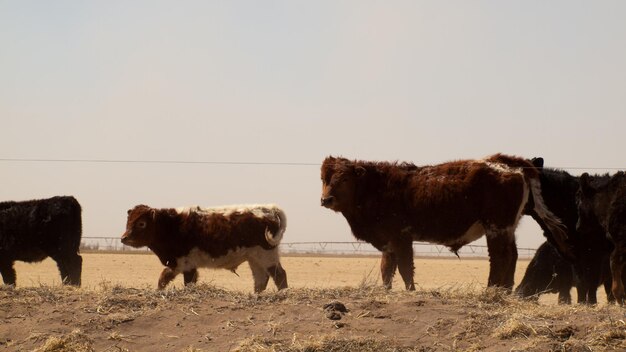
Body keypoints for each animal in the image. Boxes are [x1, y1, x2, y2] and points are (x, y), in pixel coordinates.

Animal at [119, 204, 288, 292]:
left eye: (141, 223)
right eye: (128, 221)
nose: (123, 238)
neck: (172, 226)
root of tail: (269, 209)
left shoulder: (186, 264)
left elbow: (183, 282)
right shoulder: (178, 264)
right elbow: (163, 279)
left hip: (266, 255)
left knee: (279, 275)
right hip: (254, 258)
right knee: (261, 279)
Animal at [320, 154, 568, 292]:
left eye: (344, 179)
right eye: (323, 178)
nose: (325, 200)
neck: (379, 186)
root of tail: (505, 163)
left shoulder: (401, 237)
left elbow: (405, 268)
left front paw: (410, 291)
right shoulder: (389, 240)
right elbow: (387, 269)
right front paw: (387, 291)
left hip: (496, 227)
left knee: (500, 257)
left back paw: (491, 290)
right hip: (507, 228)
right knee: (512, 256)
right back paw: (505, 290)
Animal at [520, 158, 612, 304]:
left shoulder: (596, 253)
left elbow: (590, 283)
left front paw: (591, 303)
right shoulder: (576, 257)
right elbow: (581, 284)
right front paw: (582, 304)